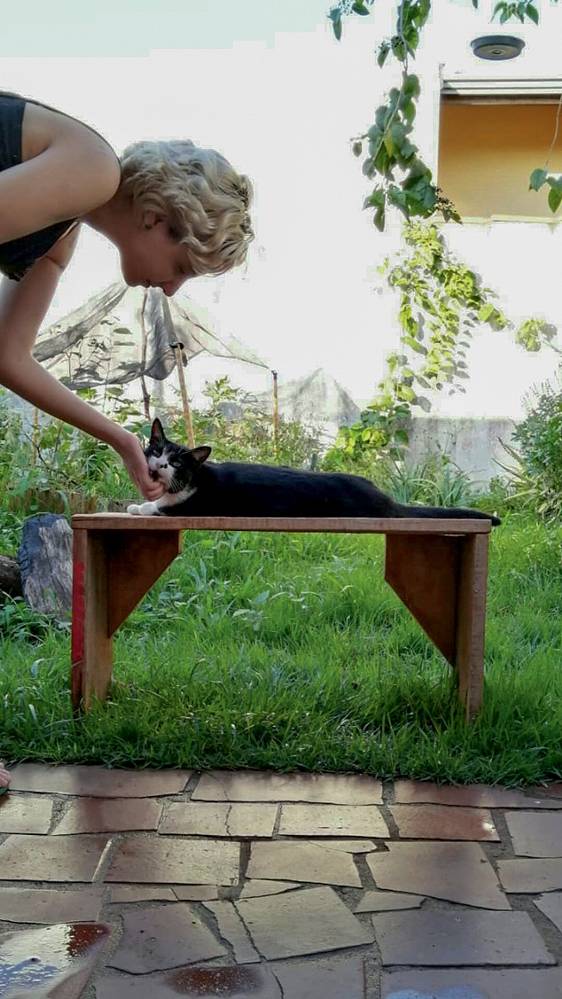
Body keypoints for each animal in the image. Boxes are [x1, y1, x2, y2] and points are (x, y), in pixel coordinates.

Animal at [127, 416, 498, 524]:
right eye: (156, 450)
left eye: (177, 462)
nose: (160, 464)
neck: (194, 480)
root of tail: (385, 498)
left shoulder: (191, 506)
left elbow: (160, 507)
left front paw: (138, 506)